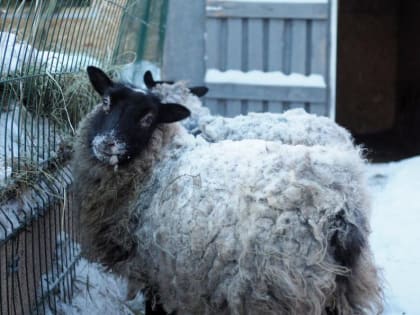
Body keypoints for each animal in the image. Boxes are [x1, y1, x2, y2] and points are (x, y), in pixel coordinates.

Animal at [73, 66, 384, 315]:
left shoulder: (157, 272)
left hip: (280, 288)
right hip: (340, 286)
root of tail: (339, 207)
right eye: (105, 102)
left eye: (148, 117)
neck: (158, 165)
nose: (107, 143)